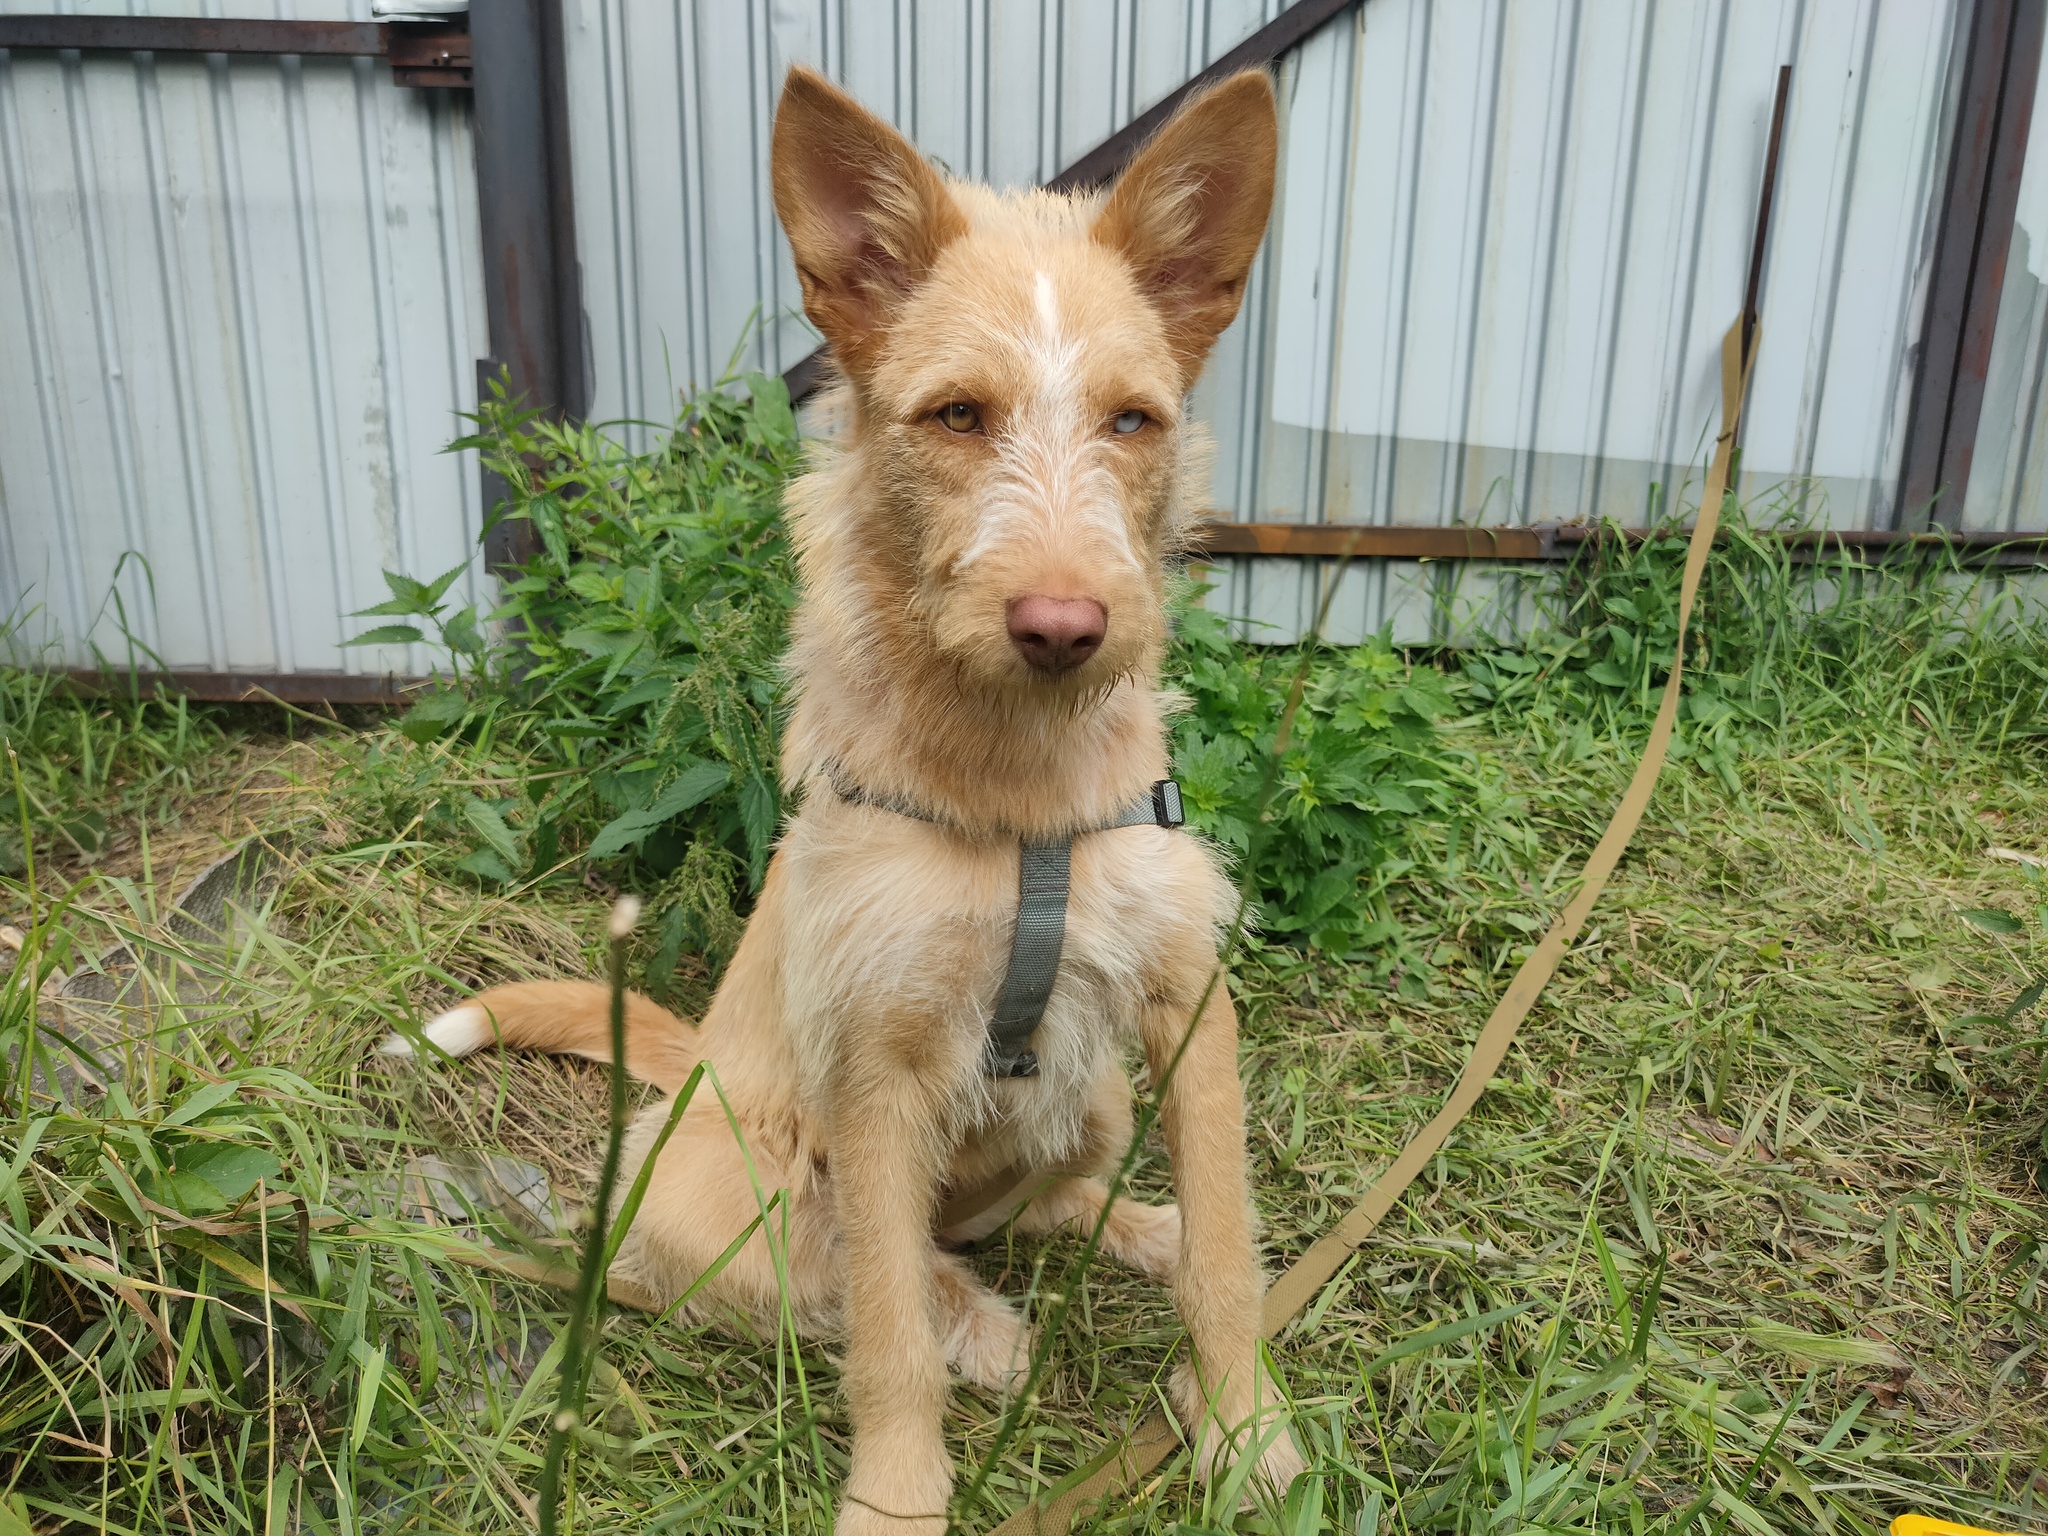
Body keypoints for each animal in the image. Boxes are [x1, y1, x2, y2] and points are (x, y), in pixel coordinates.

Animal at [385, 66, 1294, 1531]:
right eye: (957, 416)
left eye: (1132, 421)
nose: (1064, 628)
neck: (1018, 793)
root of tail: (691, 1064)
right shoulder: (877, 1075)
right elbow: (882, 1336)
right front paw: (895, 1502)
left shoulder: (1184, 1005)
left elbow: (1228, 1251)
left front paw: (1245, 1426)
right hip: (725, 1205)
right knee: (855, 1273)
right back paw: (978, 1325)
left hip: (1095, 1091)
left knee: (1030, 1206)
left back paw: (1123, 1234)